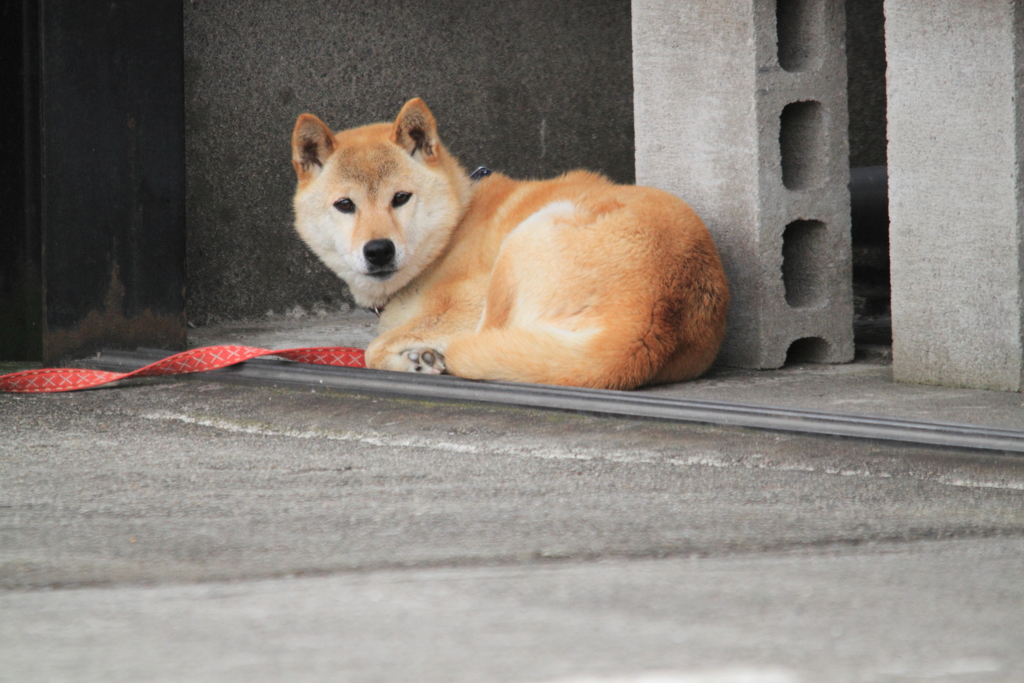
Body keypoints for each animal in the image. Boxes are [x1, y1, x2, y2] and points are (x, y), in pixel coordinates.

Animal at [292, 99, 729, 393]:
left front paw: (415, 358)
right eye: (345, 205)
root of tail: (648, 323)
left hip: (520, 244)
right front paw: (416, 358)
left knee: (481, 343)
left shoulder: (465, 304)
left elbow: (372, 350)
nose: (379, 249)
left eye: (401, 198)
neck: (454, 226)